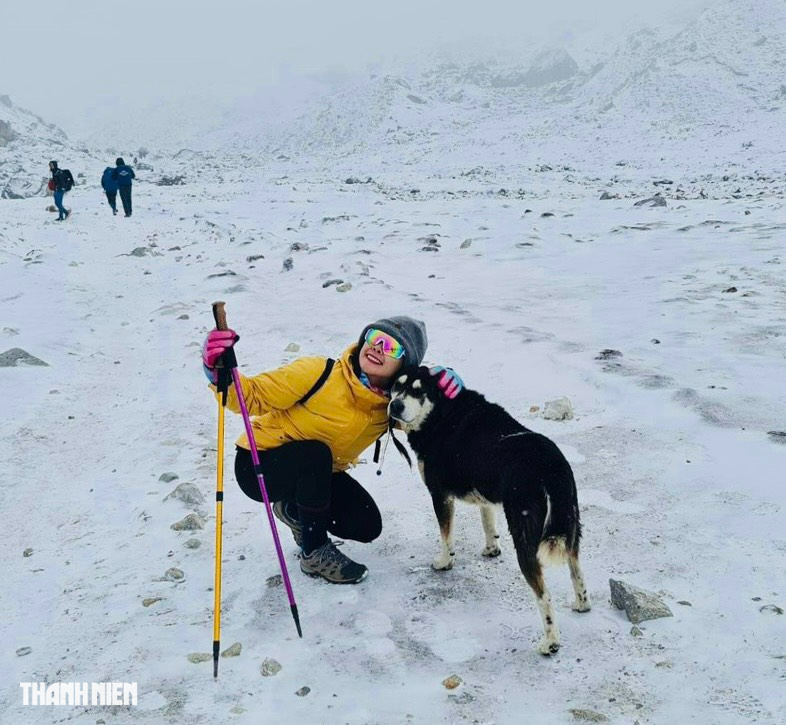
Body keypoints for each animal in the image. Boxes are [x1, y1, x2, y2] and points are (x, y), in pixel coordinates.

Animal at [386, 364, 588, 652]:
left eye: (418, 391)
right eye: (396, 386)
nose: (395, 405)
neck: (440, 413)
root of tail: (550, 468)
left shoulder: (440, 495)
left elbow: (446, 536)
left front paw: (444, 562)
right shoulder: (485, 496)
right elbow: (487, 523)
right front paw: (491, 549)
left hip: (525, 535)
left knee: (544, 595)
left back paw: (550, 642)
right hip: (569, 525)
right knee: (576, 569)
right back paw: (582, 604)